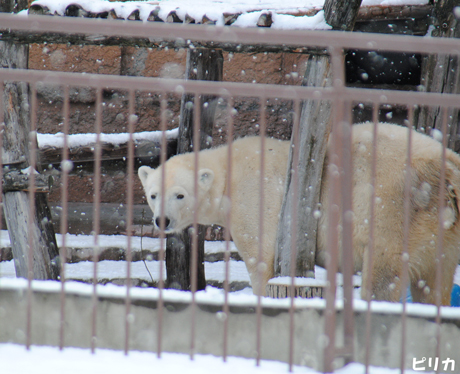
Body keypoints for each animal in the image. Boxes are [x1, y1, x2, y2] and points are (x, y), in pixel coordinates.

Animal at [138, 122, 460, 304]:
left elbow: (262, 260)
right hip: (442, 231)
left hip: (390, 208)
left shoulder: (256, 198)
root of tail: (446, 172)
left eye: (179, 194)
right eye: (153, 194)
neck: (228, 172)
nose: (162, 220)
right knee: (435, 281)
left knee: (383, 272)